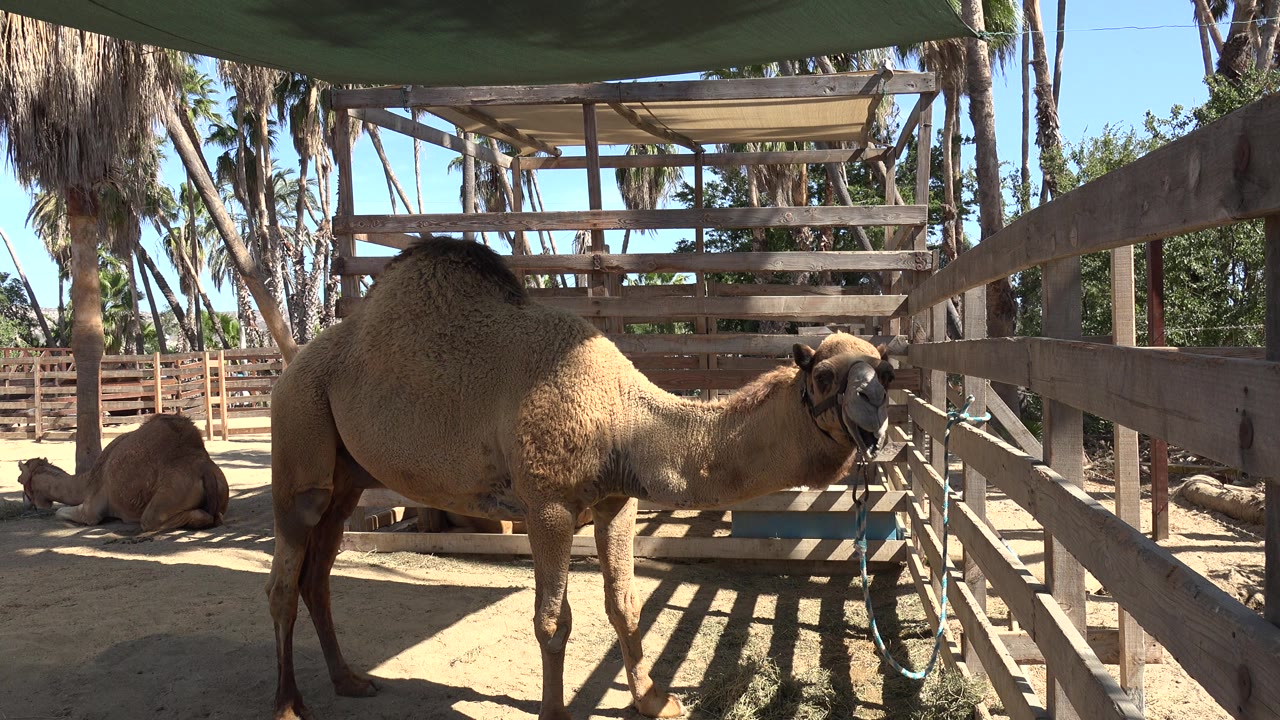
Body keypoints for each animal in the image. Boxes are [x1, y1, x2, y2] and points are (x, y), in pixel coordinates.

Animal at [17, 413, 229, 532]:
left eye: (21, 481)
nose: (28, 504)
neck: (87, 481)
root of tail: (205, 470)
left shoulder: (92, 510)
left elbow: (61, 512)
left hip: (171, 493)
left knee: (150, 520)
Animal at [268, 236, 894, 720]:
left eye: (885, 372)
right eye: (823, 377)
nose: (874, 409)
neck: (621, 418)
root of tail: (292, 365)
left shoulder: (617, 500)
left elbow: (626, 605)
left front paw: (654, 701)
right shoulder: (547, 504)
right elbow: (553, 621)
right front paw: (555, 710)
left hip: (346, 475)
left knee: (318, 574)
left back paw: (350, 681)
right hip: (299, 432)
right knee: (283, 582)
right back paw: (289, 705)